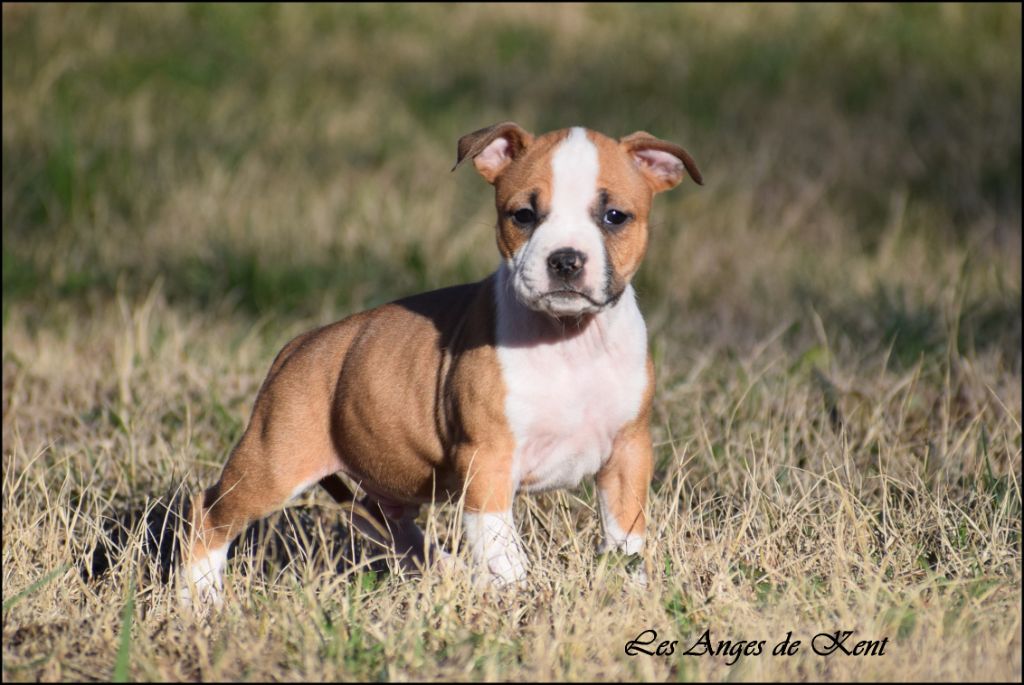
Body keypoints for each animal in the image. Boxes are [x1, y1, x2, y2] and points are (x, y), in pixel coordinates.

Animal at [180, 122, 700, 602]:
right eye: (524, 215)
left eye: (614, 216)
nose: (566, 260)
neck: (570, 340)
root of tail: (299, 345)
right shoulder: (487, 461)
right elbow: (501, 547)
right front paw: (516, 601)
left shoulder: (628, 453)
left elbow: (625, 537)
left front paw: (631, 591)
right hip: (274, 464)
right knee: (209, 514)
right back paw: (200, 601)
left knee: (394, 525)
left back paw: (439, 566)